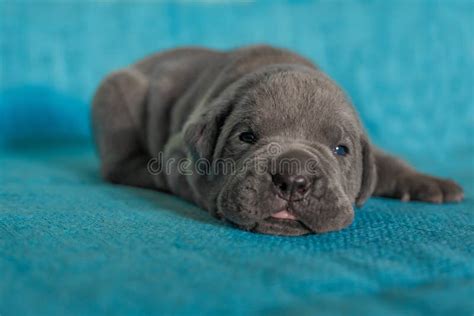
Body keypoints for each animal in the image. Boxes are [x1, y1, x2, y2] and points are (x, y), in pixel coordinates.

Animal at [91, 45, 462, 236]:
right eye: (246, 136)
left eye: (341, 149)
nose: (293, 179)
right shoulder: (178, 151)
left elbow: (386, 163)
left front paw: (427, 182)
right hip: (115, 95)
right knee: (120, 165)